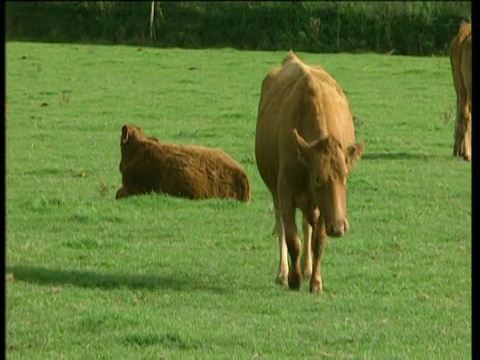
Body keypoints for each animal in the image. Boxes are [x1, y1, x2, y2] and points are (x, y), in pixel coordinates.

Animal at [255, 50, 364, 292]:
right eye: (318, 178)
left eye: (345, 176)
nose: (339, 227)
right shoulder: (285, 193)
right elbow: (292, 238)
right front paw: (293, 279)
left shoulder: (325, 207)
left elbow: (318, 240)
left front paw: (315, 281)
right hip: (276, 192)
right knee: (282, 227)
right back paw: (283, 273)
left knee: (308, 226)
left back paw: (307, 268)